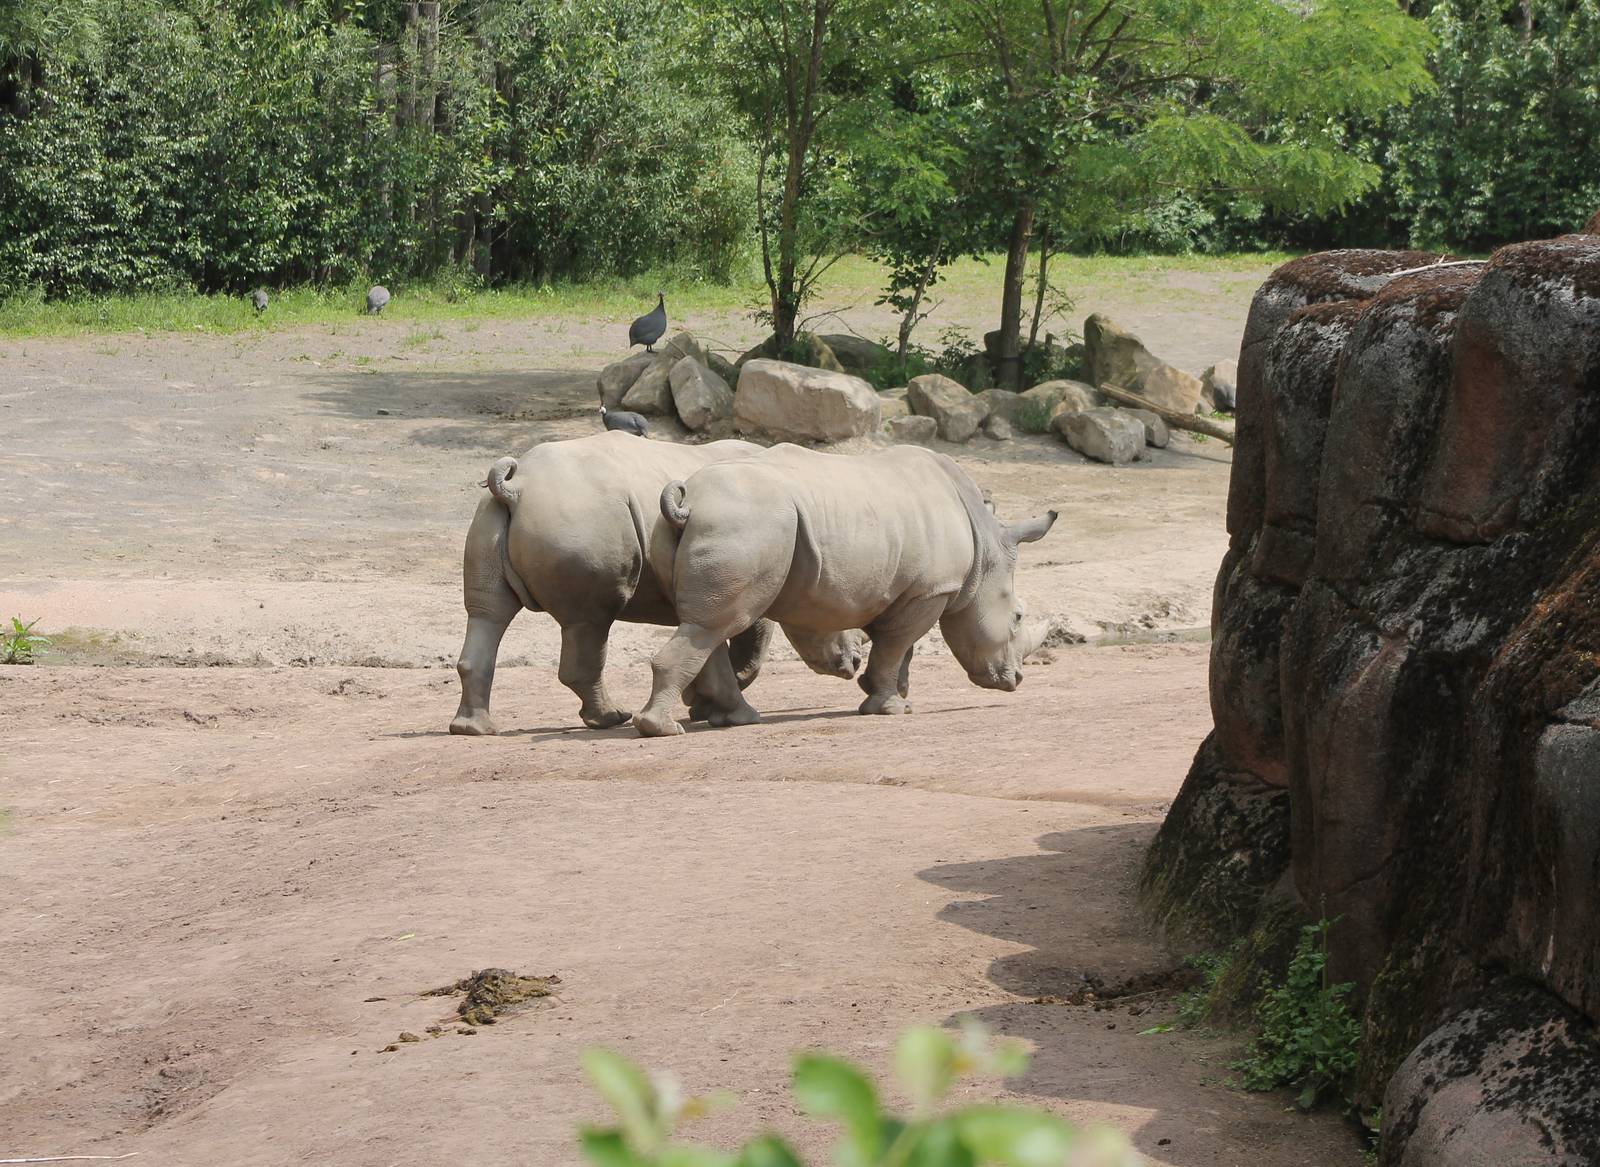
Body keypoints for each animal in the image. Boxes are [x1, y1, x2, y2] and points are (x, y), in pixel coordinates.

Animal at [451, 432, 866, 736]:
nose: (855, 663)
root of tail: (516, 486)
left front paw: (700, 703)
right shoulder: (752, 575)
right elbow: (749, 649)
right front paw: (703, 705)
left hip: (489, 516)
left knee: (488, 613)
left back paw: (475, 729)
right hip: (581, 516)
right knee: (590, 619)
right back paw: (612, 718)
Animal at [633, 444, 1055, 737]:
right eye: (1018, 616)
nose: (1016, 680)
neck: (984, 549)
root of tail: (688, 501)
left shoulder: (904, 589)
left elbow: (898, 647)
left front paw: (889, 692)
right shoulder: (932, 590)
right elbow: (896, 646)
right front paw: (891, 709)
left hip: (701, 526)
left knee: (705, 627)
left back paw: (739, 719)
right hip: (742, 523)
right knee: (719, 624)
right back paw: (664, 730)